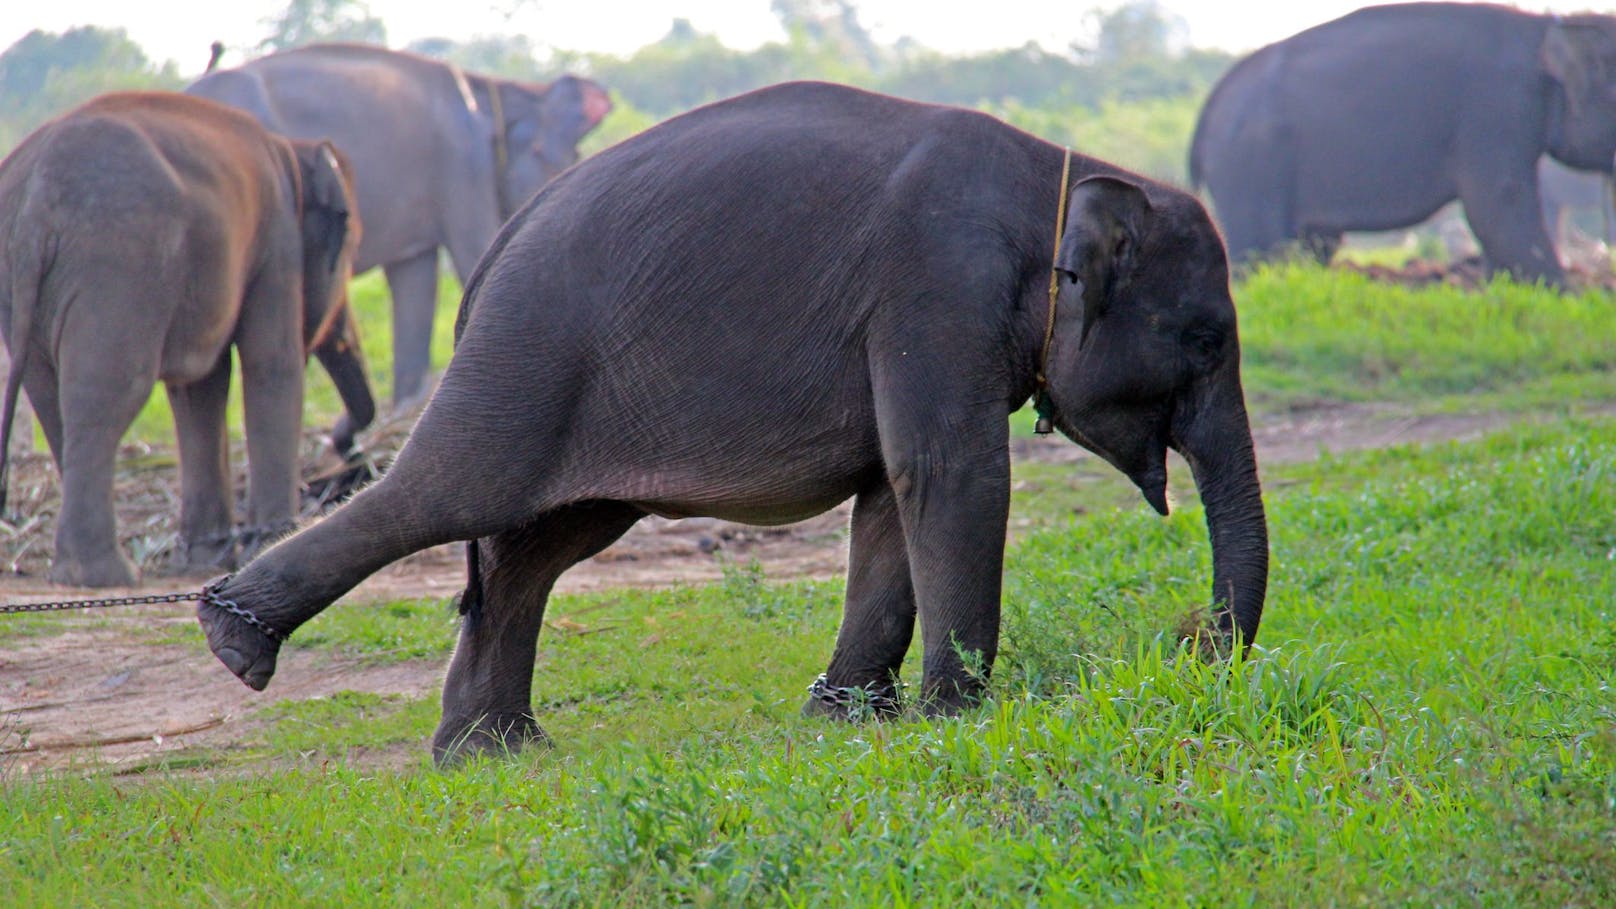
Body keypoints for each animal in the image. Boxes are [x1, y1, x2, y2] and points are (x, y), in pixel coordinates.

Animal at [0, 92, 374, 588]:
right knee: (109, 393)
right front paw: (268, 543)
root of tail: (34, 203)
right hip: (120, 262)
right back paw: (105, 576)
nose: (348, 459)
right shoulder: (278, 241)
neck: (292, 150)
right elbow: (270, 364)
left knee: (50, 397)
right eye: (352, 244)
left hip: (28, 286)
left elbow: (198, 390)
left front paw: (206, 559)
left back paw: (81, 574)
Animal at [187, 44, 610, 404]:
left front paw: (406, 402)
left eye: (576, 154)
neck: (489, 88)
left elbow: (416, 280)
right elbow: (472, 252)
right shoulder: (461, 162)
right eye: (543, 153)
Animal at [195, 79, 1266, 763]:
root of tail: (501, 239)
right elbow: (950, 475)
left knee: (535, 544)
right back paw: (235, 643)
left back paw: (490, 751)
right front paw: (955, 719)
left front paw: (847, 720)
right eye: (1205, 339)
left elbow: (893, 496)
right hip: (527, 353)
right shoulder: (934, 288)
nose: (1196, 645)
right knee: (457, 491)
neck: (1061, 173)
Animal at [1195, 1, 1616, 284]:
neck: (1546, 26)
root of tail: (1209, 107)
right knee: (1260, 247)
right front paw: (1565, 293)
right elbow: (1499, 200)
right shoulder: (1496, 108)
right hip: (1251, 165)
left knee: (1315, 244)